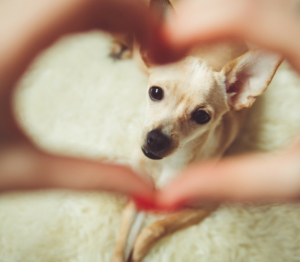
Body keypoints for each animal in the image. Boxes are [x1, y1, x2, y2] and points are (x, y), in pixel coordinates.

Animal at [109, 0, 282, 260]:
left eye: (202, 117)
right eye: (155, 92)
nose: (155, 140)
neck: (168, 166)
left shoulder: (204, 207)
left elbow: (156, 226)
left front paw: (138, 249)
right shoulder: (139, 196)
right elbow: (120, 245)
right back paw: (119, 43)